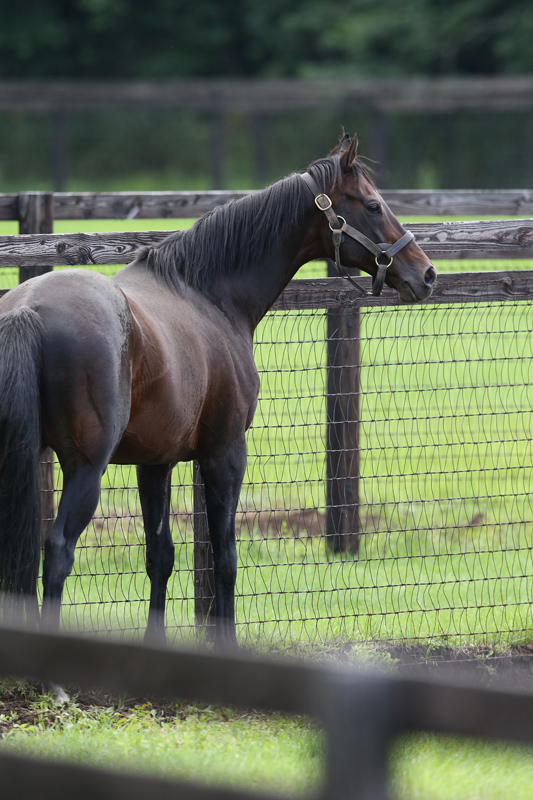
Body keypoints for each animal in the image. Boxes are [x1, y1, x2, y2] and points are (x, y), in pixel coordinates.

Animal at [0, 134, 434, 652]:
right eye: (372, 205)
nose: (426, 274)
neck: (209, 295)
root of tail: (28, 308)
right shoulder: (225, 454)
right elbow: (224, 559)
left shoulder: (155, 463)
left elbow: (161, 556)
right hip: (86, 469)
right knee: (58, 551)